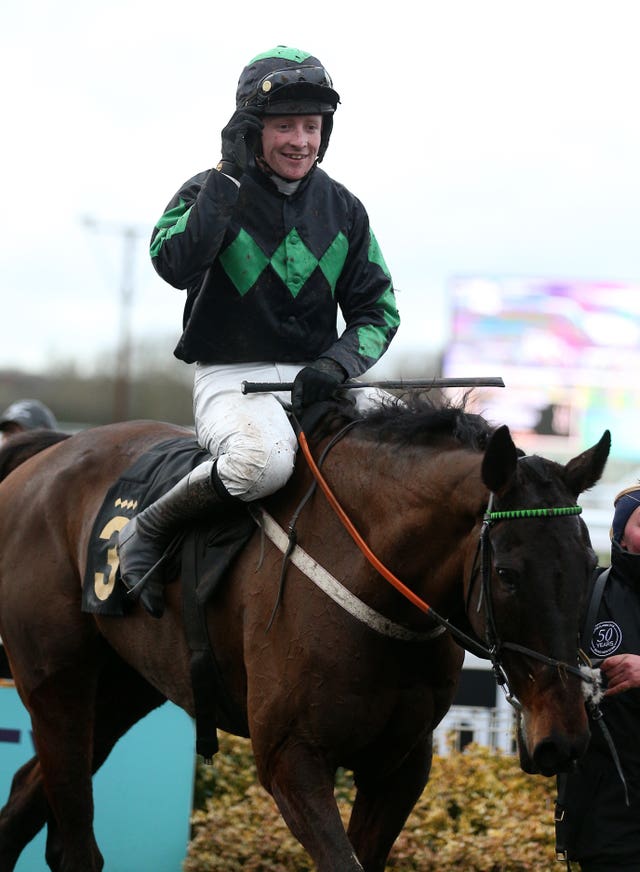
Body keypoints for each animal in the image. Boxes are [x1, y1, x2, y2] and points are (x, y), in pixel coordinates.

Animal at [0, 396, 608, 872]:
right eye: (506, 574)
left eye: (589, 567)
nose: (565, 739)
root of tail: (48, 453)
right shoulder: (291, 755)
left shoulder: (399, 764)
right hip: (58, 682)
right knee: (75, 838)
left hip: (122, 689)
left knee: (27, 799)